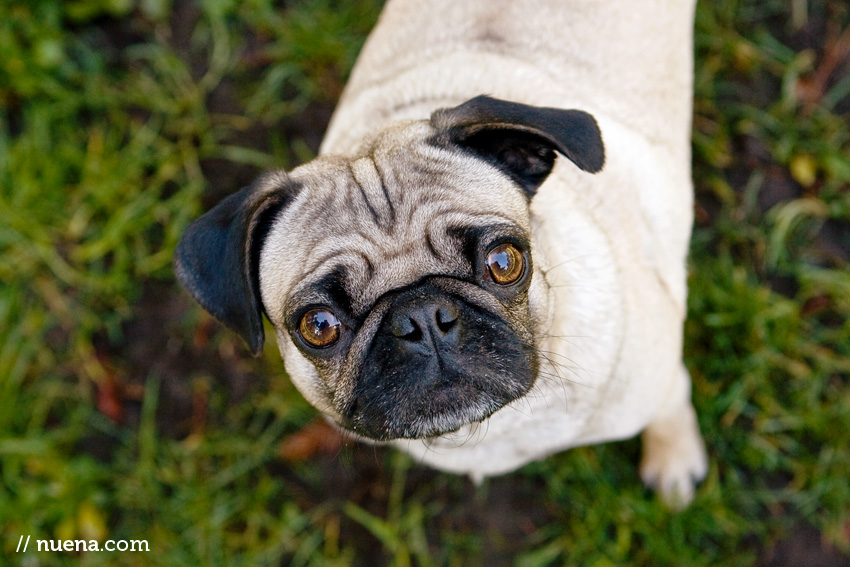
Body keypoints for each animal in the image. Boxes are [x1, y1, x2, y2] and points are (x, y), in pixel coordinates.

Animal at [174, 0, 708, 506]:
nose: (422, 317)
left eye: (504, 262)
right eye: (319, 326)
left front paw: (674, 460)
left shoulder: (658, 378)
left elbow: (672, 402)